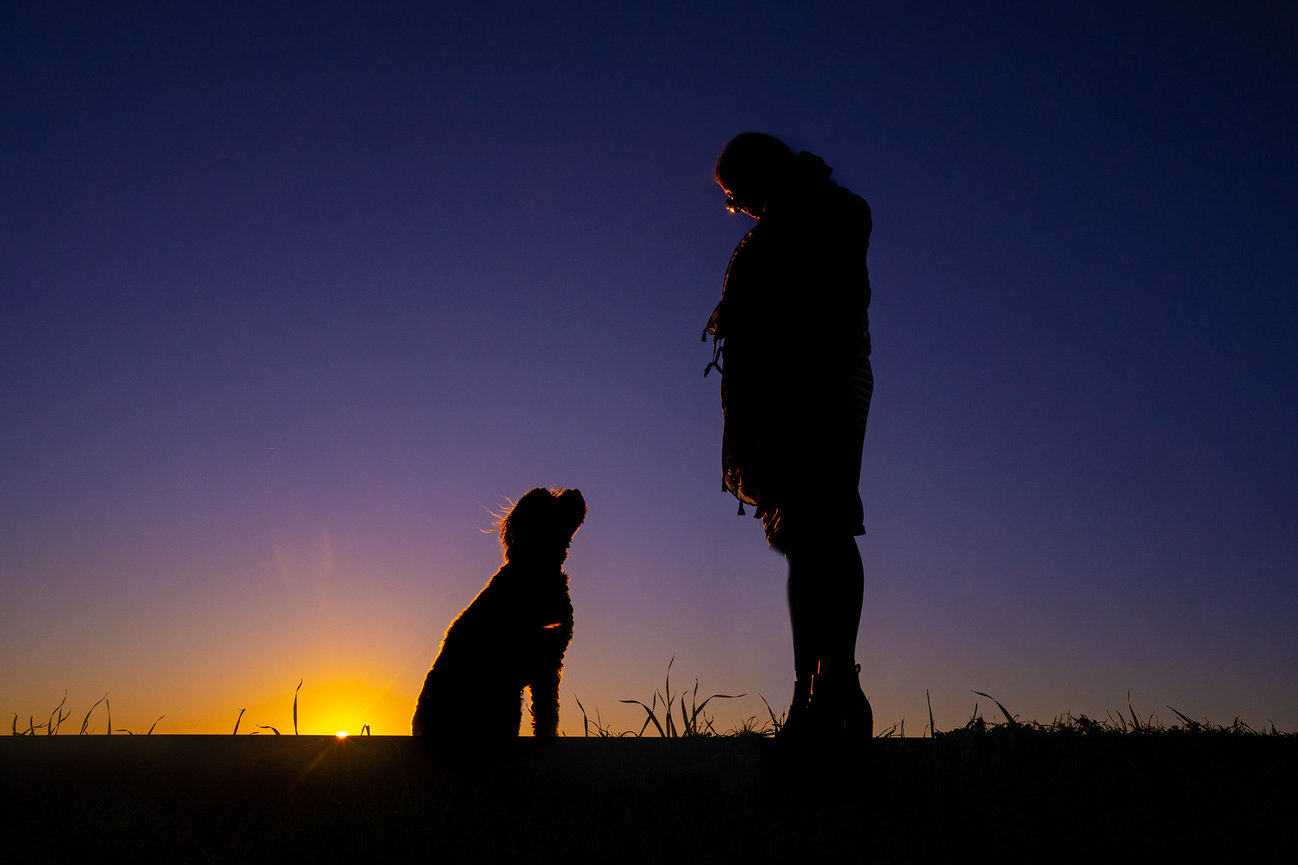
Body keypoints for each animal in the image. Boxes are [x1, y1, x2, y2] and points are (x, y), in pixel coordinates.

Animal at [412, 485, 586, 732]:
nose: (575, 490)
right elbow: (544, 715)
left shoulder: (548, 665)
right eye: (550, 501)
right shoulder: (538, 667)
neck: (534, 568)